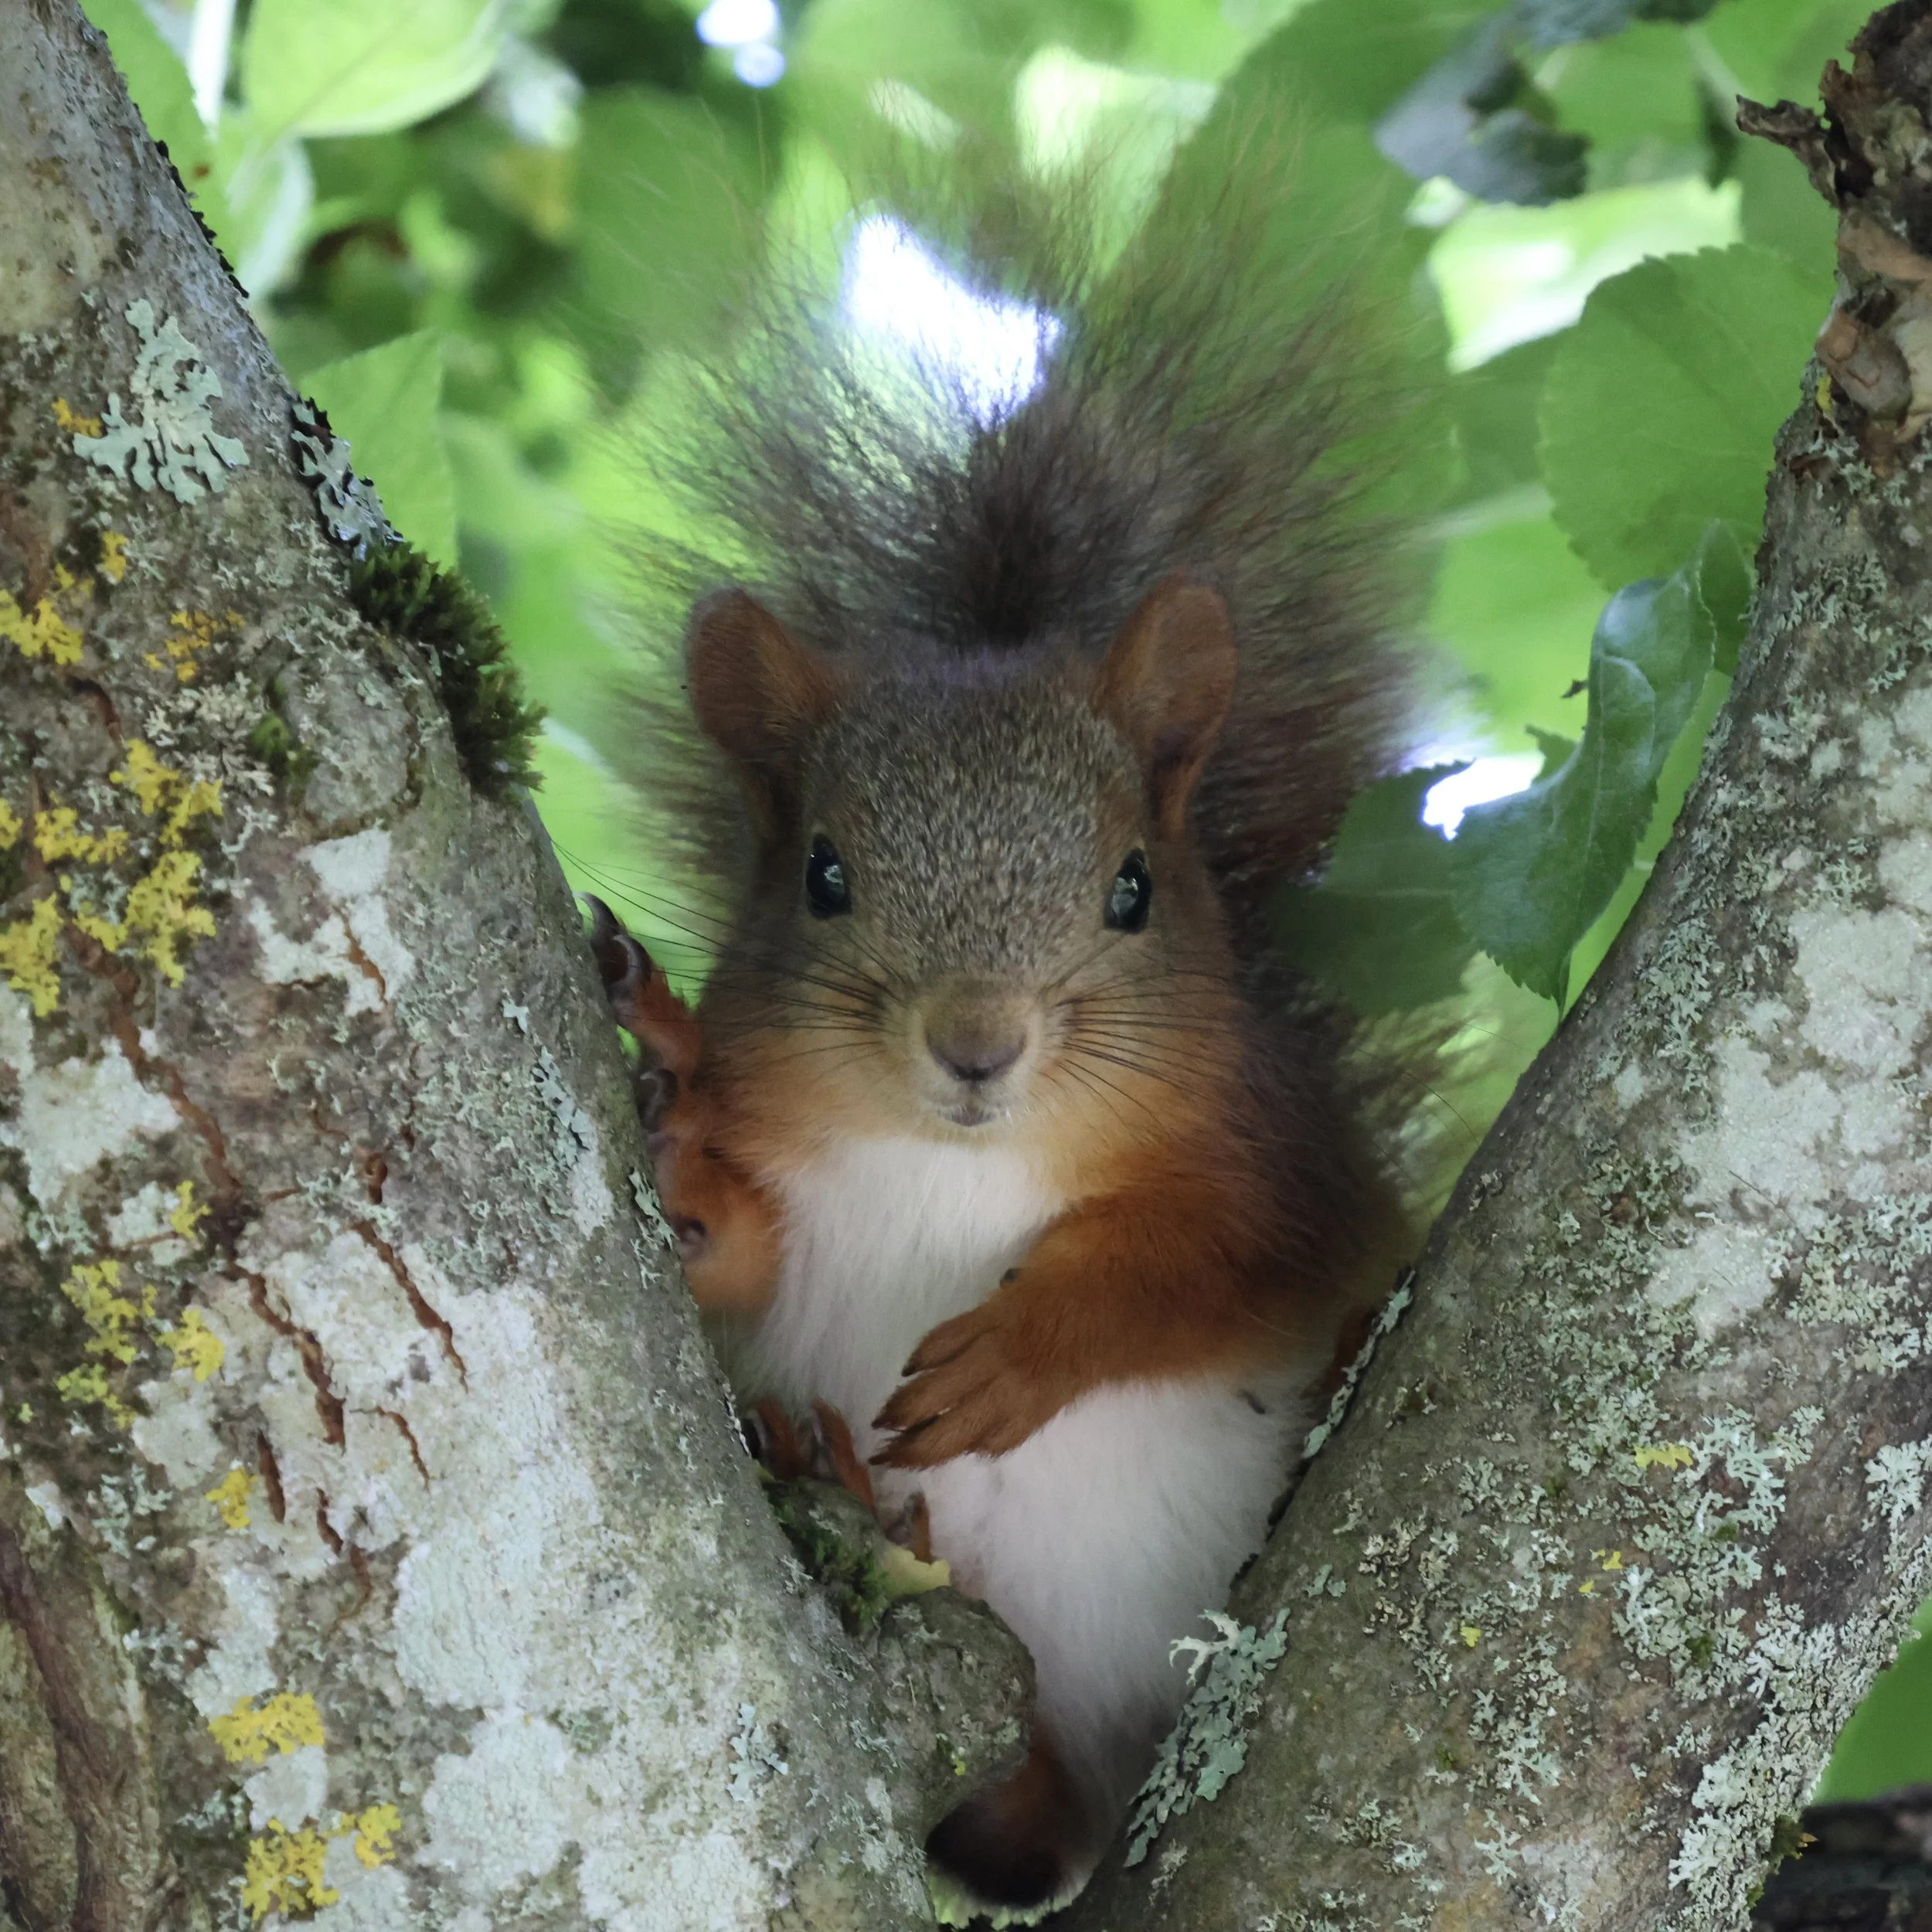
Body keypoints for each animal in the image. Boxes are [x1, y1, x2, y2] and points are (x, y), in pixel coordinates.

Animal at [591, 132, 1432, 1911]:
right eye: (822, 874)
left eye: (1132, 888)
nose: (975, 1043)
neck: (948, 1168)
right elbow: (743, 1265)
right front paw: (684, 1139)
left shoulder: (1281, 1167)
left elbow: (1201, 1267)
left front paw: (1013, 1356)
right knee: (1018, 1820)